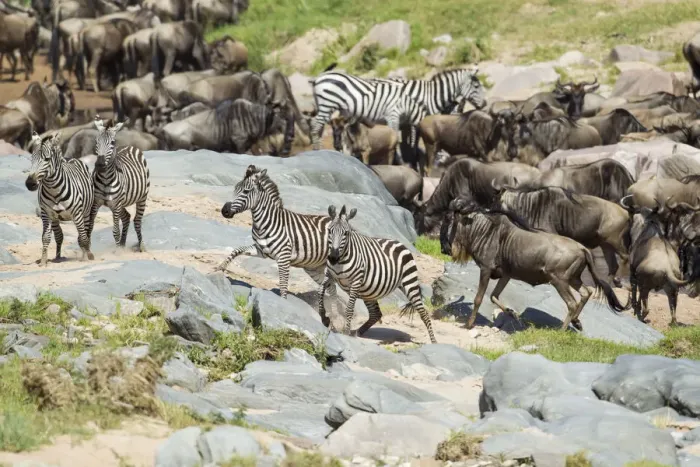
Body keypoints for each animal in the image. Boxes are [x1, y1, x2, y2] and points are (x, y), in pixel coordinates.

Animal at [25, 131, 95, 266]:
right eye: (31, 159)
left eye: (46, 159)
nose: (30, 184)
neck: (54, 190)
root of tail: (68, 158)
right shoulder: (46, 213)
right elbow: (45, 238)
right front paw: (43, 262)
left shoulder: (77, 213)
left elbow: (83, 236)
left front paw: (84, 258)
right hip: (55, 219)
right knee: (59, 236)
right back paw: (58, 257)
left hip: (86, 212)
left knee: (86, 232)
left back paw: (88, 253)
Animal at [88, 117, 150, 251]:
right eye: (96, 142)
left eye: (112, 143)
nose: (100, 165)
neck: (106, 180)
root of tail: (129, 146)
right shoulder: (95, 203)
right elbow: (89, 227)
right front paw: (86, 249)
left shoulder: (116, 205)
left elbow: (115, 231)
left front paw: (117, 253)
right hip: (121, 202)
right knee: (126, 217)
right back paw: (122, 245)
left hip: (142, 197)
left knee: (137, 221)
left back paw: (141, 246)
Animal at [218, 165, 338, 309]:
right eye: (235, 189)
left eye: (246, 192)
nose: (224, 211)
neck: (264, 223)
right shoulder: (260, 250)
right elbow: (237, 250)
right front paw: (220, 267)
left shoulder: (284, 257)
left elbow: (283, 286)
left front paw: (283, 303)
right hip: (314, 267)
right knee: (332, 288)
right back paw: (335, 311)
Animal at [319, 204, 437, 344]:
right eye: (329, 230)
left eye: (346, 233)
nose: (333, 257)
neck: (340, 261)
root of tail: (401, 244)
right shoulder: (329, 275)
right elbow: (320, 292)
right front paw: (324, 319)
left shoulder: (356, 281)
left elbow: (349, 309)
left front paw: (346, 332)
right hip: (368, 291)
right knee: (376, 314)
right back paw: (356, 332)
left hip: (410, 283)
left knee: (423, 313)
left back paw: (433, 342)